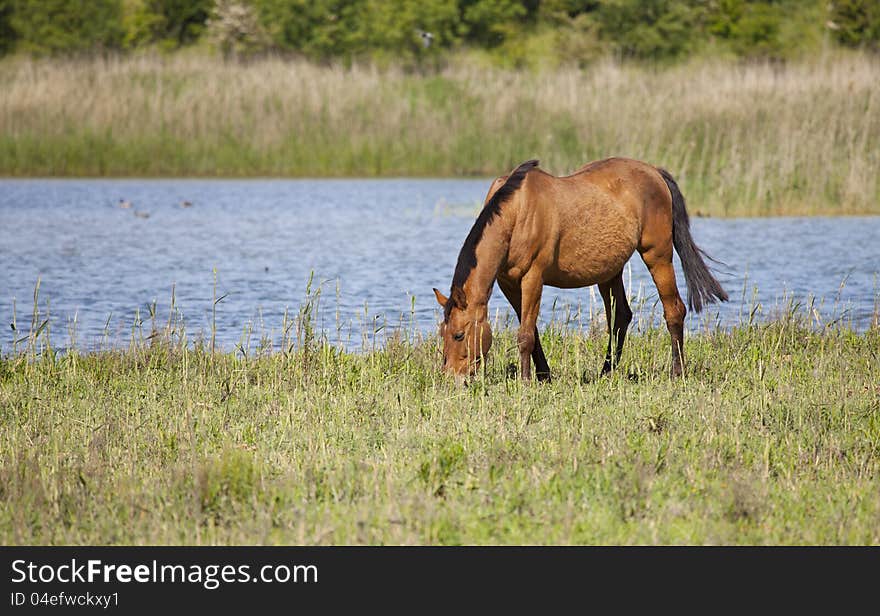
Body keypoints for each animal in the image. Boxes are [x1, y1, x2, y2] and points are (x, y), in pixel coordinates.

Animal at [434, 158, 728, 380]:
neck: (515, 213)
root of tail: (655, 172)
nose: (453, 378)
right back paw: (606, 372)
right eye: (441, 333)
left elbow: (525, 334)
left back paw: (677, 372)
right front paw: (544, 376)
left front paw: (527, 381)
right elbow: (532, 329)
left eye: (459, 334)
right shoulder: (508, 283)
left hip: (658, 255)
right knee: (621, 317)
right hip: (610, 271)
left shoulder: (533, 277)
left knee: (674, 310)